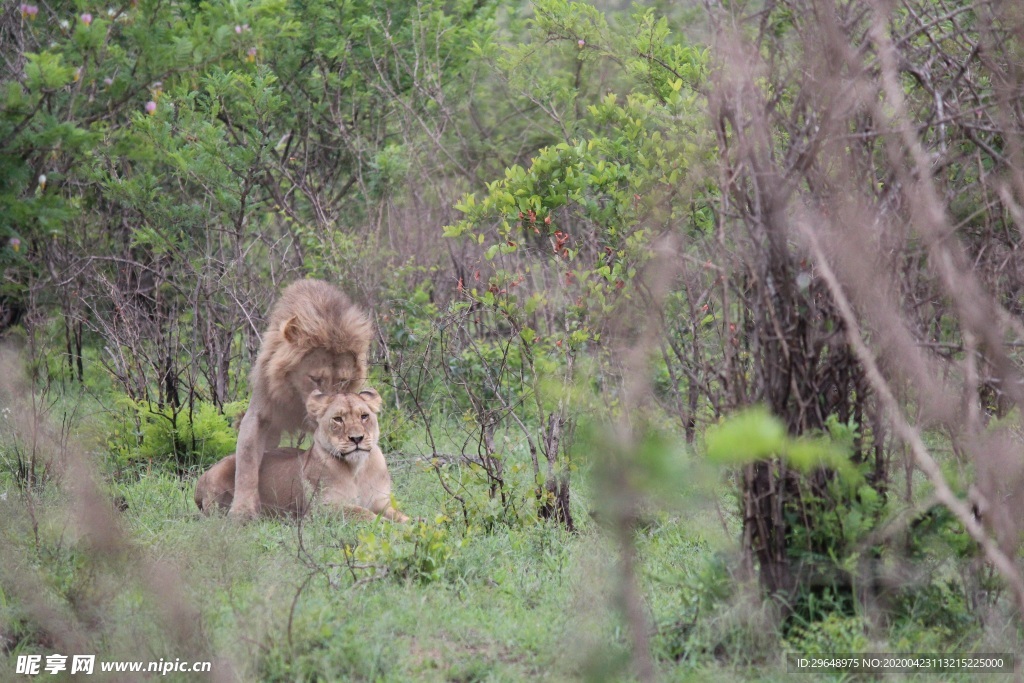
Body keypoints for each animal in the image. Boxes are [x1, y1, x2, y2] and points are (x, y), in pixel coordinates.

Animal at [195, 387, 407, 520]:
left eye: (364, 416)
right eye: (338, 419)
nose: (357, 438)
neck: (357, 469)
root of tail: (200, 479)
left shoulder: (381, 502)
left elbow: (401, 516)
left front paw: (411, 523)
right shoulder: (323, 508)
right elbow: (364, 515)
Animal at [231, 280, 372, 520]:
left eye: (343, 381)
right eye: (315, 378)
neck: (297, 399)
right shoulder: (259, 413)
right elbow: (247, 459)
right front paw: (241, 510)